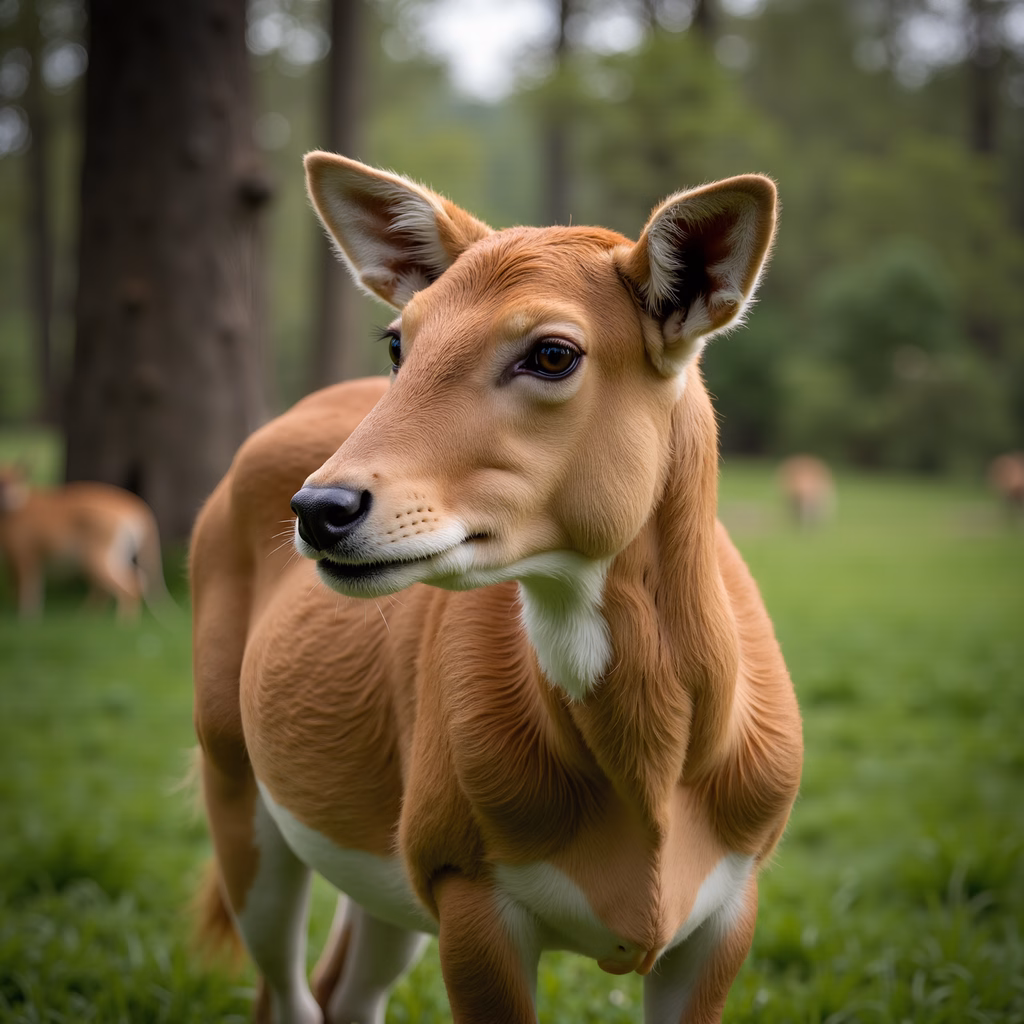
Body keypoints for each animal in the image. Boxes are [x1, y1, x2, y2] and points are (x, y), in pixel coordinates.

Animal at [190, 153, 803, 1024]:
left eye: (552, 353)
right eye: (398, 340)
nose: (321, 508)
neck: (654, 786)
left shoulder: (732, 900)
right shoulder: (464, 876)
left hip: (383, 862)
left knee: (344, 989)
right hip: (235, 777)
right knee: (289, 994)